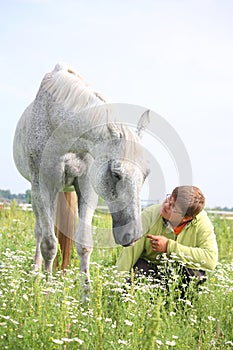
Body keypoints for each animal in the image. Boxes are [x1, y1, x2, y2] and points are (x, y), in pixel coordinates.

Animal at [13, 63, 149, 298]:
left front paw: (86, 295)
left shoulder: (86, 186)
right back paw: (36, 274)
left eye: (146, 174)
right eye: (116, 173)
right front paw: (47, 293)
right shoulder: (43, 185)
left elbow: (84, 244)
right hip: (37, 192)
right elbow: (49, 244)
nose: (133, 235)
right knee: (39, 232)